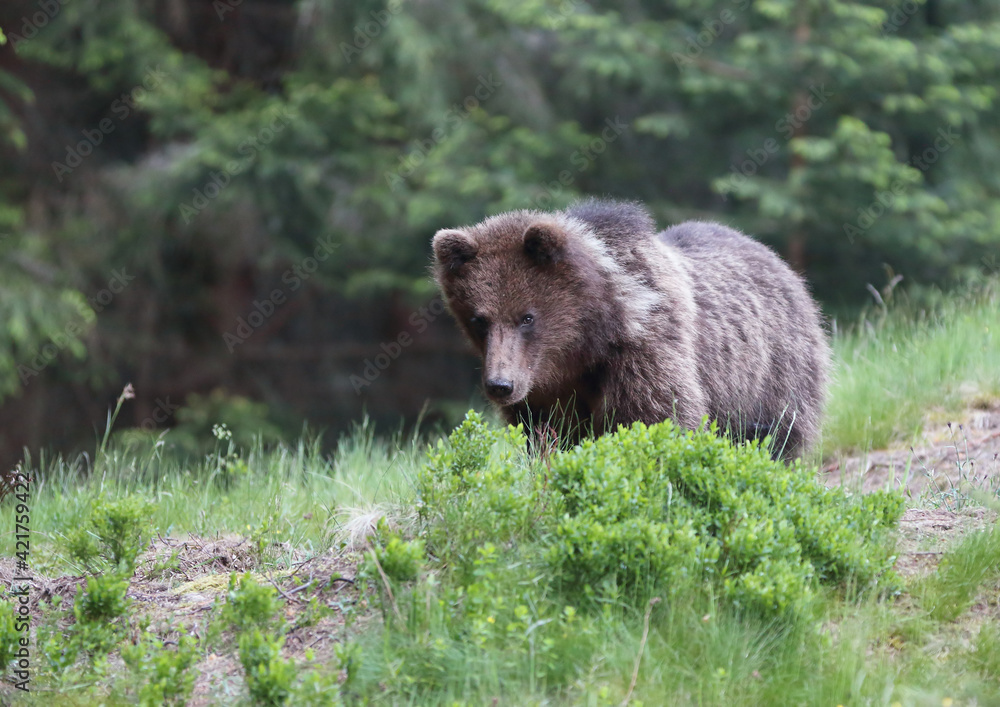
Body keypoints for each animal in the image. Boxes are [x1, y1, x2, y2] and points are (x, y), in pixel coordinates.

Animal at [434, 199, 832, 460]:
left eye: (527, 317)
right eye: (479, 319)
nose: (500, 385)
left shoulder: (643, 353)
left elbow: (657, 418)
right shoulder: (546, 390)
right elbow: (547, 435)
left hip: (769, 374)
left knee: (775, 436)